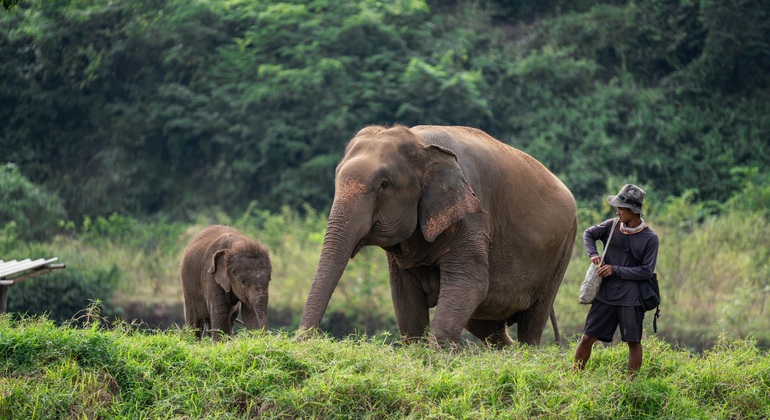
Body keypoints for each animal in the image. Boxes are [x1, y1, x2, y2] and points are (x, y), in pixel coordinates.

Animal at [300, 125, 577, 347]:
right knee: (486, 324)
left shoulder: (472, 217)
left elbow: (470, 282)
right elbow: (405, 298)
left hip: (560, 254)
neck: (422, 143)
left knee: (532, 322)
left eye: (383, 185)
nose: (304, 342)